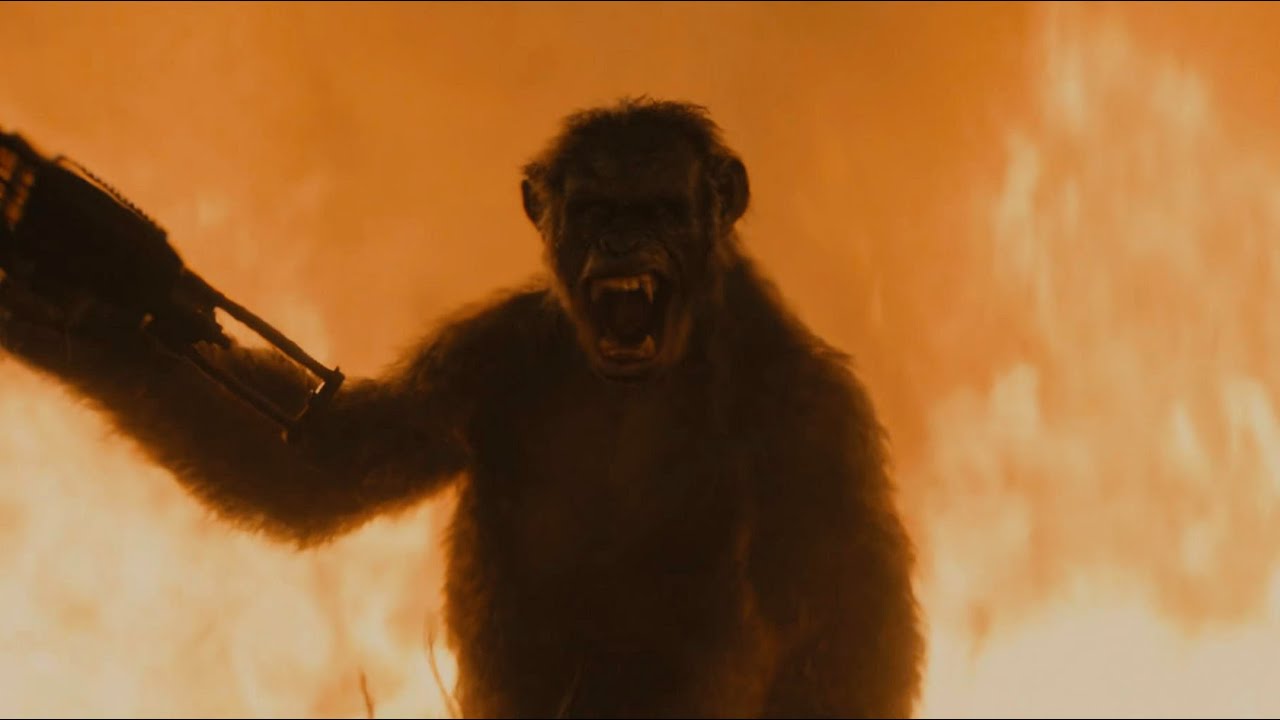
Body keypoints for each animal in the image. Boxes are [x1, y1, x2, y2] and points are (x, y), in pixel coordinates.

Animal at [0, 98, 923, 718]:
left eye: (659, 206)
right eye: (595, 209)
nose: (623, 238)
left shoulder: (813, 417)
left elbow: (851, 632)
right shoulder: (479, 359)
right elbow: (328, 463)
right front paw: (72, 299)